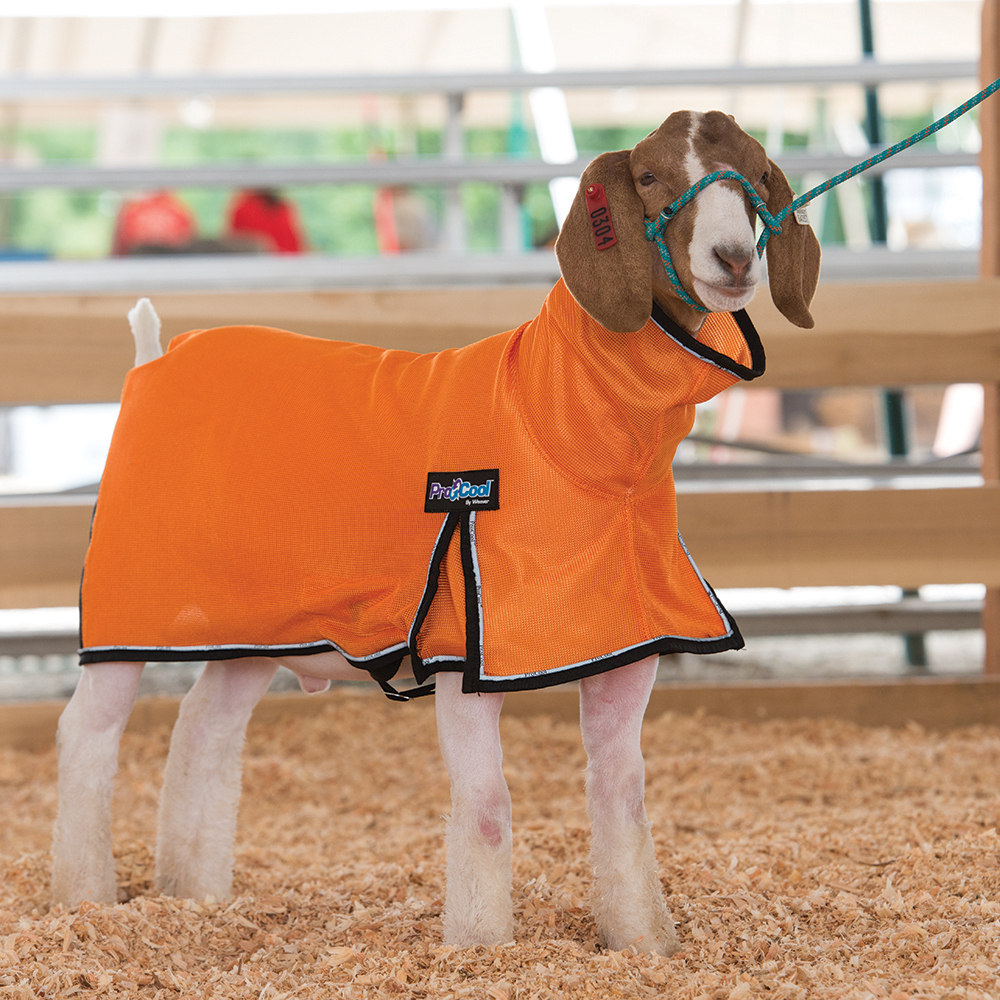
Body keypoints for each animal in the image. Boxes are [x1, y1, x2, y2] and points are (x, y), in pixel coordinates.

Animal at [51, 111, 820, 956]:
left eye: (756, 173)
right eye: (649, 177)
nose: (733, 257)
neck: (558, 425)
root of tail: (153, 357)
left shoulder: (623, 643)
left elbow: (622, 799)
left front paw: (644, 943)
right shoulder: (463, 640)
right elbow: (486, 805)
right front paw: (481, 947)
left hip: (256, 626)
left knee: (204, 730)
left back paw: (193, 894)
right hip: (129, 602)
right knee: (87, 735)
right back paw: (85, 898)